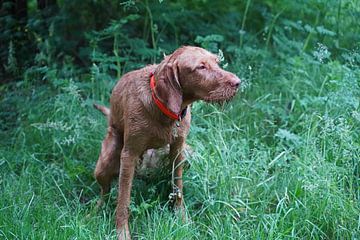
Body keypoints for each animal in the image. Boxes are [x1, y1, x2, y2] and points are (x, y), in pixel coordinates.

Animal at [94, 46, 240, 239]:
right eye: (201, 67)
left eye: (216, 62)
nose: (238, 82)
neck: (164, 110)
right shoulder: (129, 155)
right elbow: (123, 200)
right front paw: (122, 233)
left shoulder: (178, 150)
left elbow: (178, 188)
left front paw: (182, 220)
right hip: (105, 163)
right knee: (105, 192)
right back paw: (94, 211)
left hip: (189, 154)